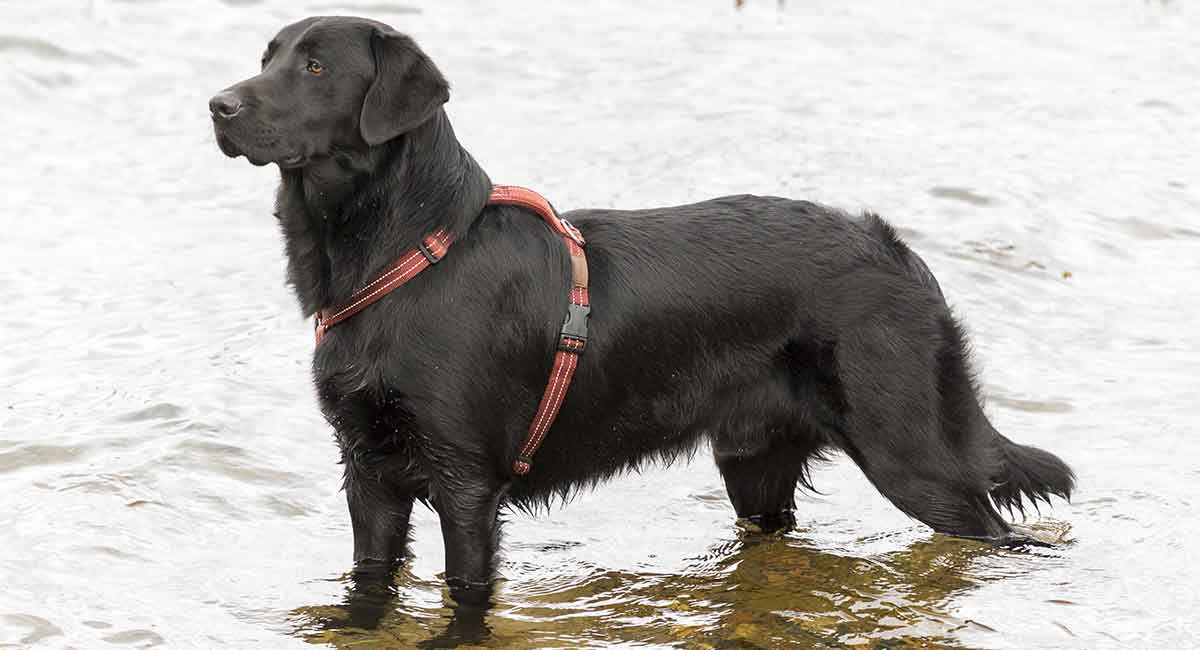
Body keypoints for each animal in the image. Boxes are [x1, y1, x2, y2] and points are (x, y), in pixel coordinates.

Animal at [208, 15, 1080, 614]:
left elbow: (466, 593)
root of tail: (898, 251)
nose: (217, 104)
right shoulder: (368, 471)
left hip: (912, 456)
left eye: (316, 66)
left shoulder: (465, 482)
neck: (407, 252)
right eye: (266, 57)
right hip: (756, 466)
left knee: (1003, 532)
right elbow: (368, 586)